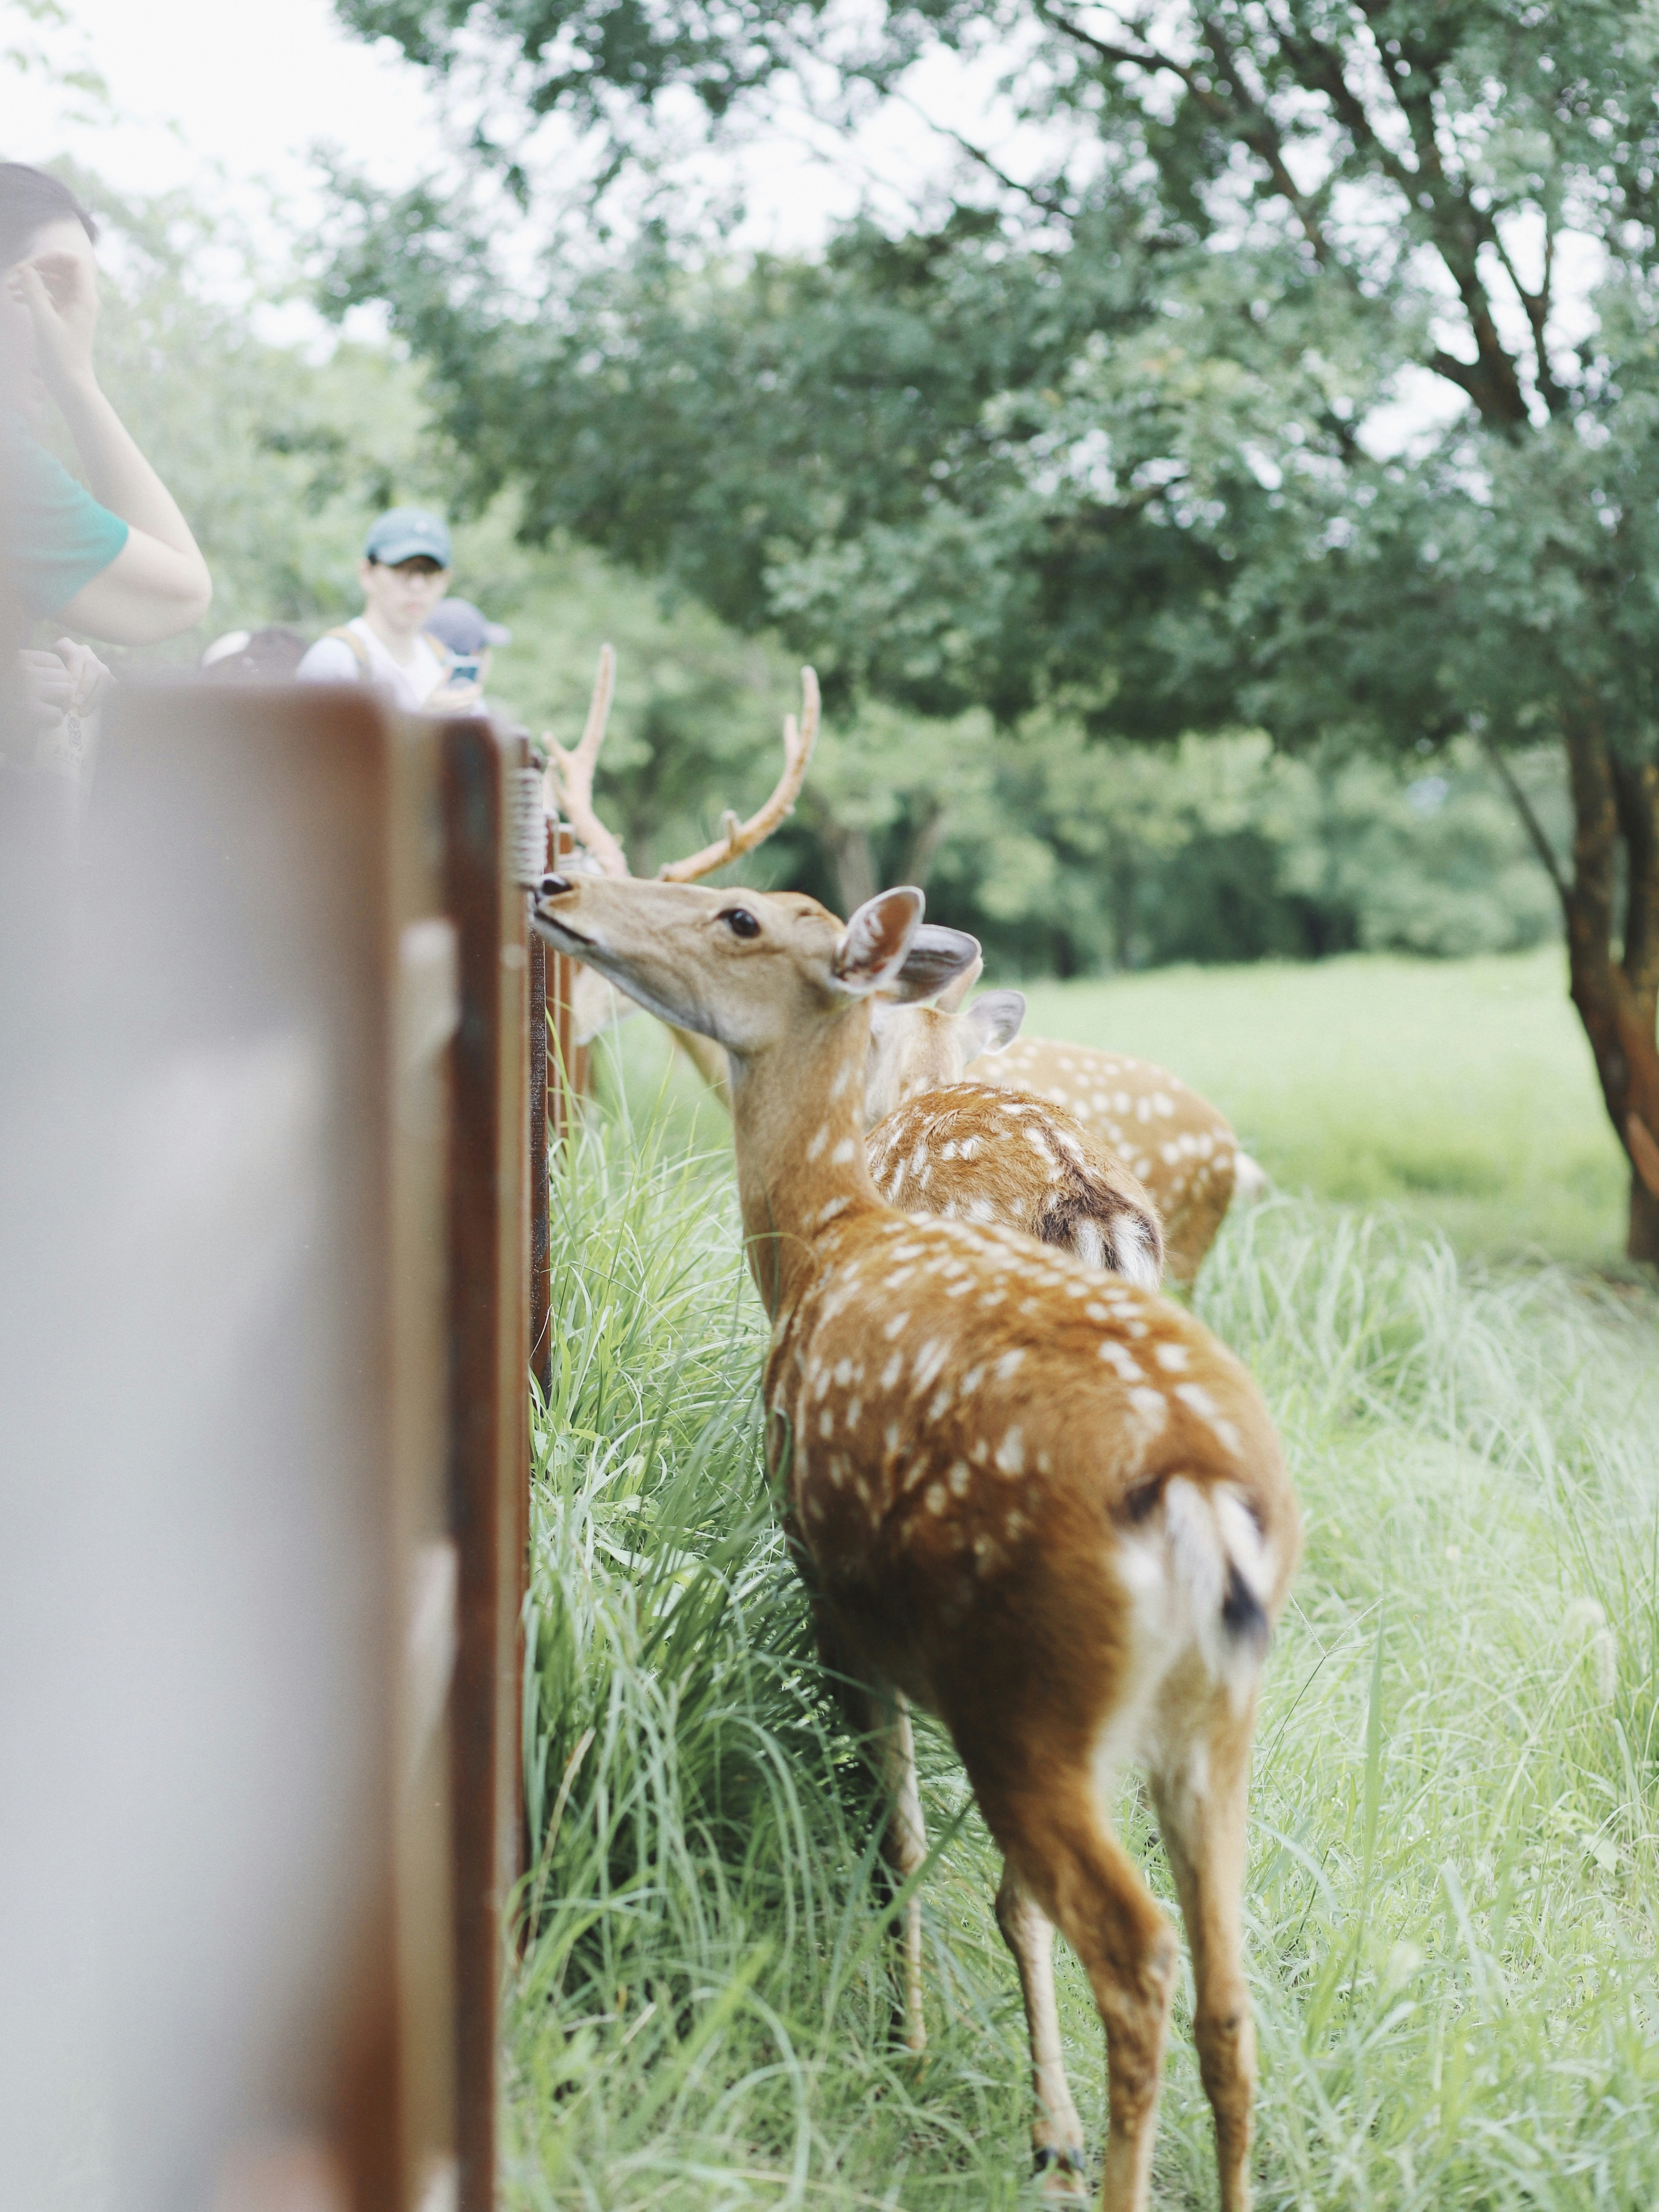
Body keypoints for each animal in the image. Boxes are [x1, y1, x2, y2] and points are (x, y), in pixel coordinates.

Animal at [530, 867, 1301, 2212]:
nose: (563, 881)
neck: (824, 1234)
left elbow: (894, 1835)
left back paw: (1062, 2138)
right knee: (1225, 1990)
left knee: (1127, 1946)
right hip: (1211, 1726)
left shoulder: (838, 1598)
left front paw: (912, 2047)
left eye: (739, 915)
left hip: (1027, 1700)